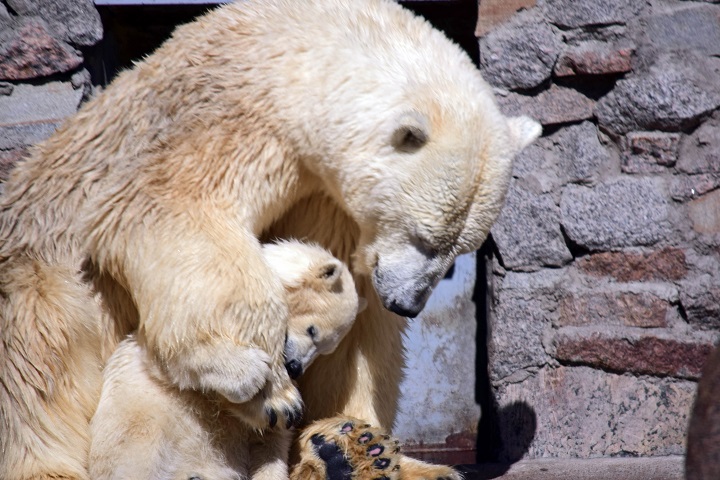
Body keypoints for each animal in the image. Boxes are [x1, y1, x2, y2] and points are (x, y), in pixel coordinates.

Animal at [0, 0, 540, 480]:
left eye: (459, 249)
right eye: (424, 236)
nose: (406, 304)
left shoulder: (331, 200)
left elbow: (358, 335)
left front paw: (355, 439)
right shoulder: (220, 122)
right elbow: (177, 218)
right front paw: (268, 389)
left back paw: (357, 456)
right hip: (43, 274)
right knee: (37, 370)